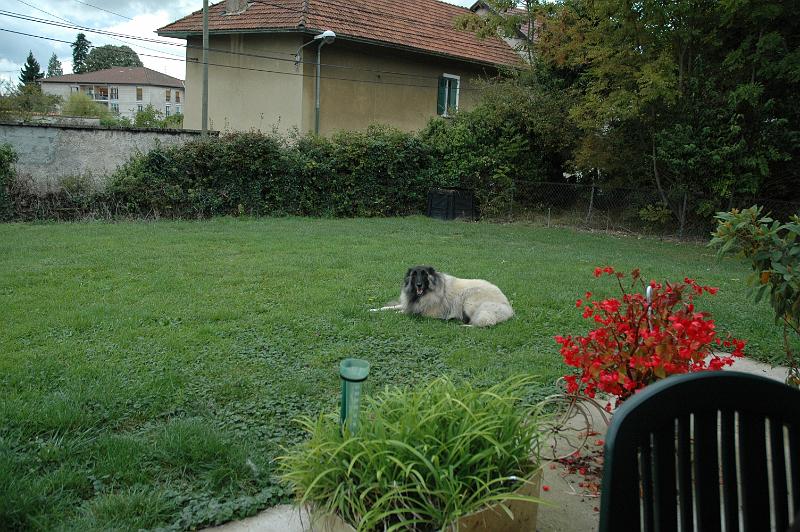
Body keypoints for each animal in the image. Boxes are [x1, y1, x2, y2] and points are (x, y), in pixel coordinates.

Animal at [372, 268, 516, 326]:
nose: (418, 284)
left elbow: (403, 312)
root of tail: (508, 307)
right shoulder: (408, 304)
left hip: (469, 302)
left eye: (424, 274)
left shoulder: (425, 312)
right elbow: (392, 307)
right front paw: (373, 310)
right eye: (414, 274)